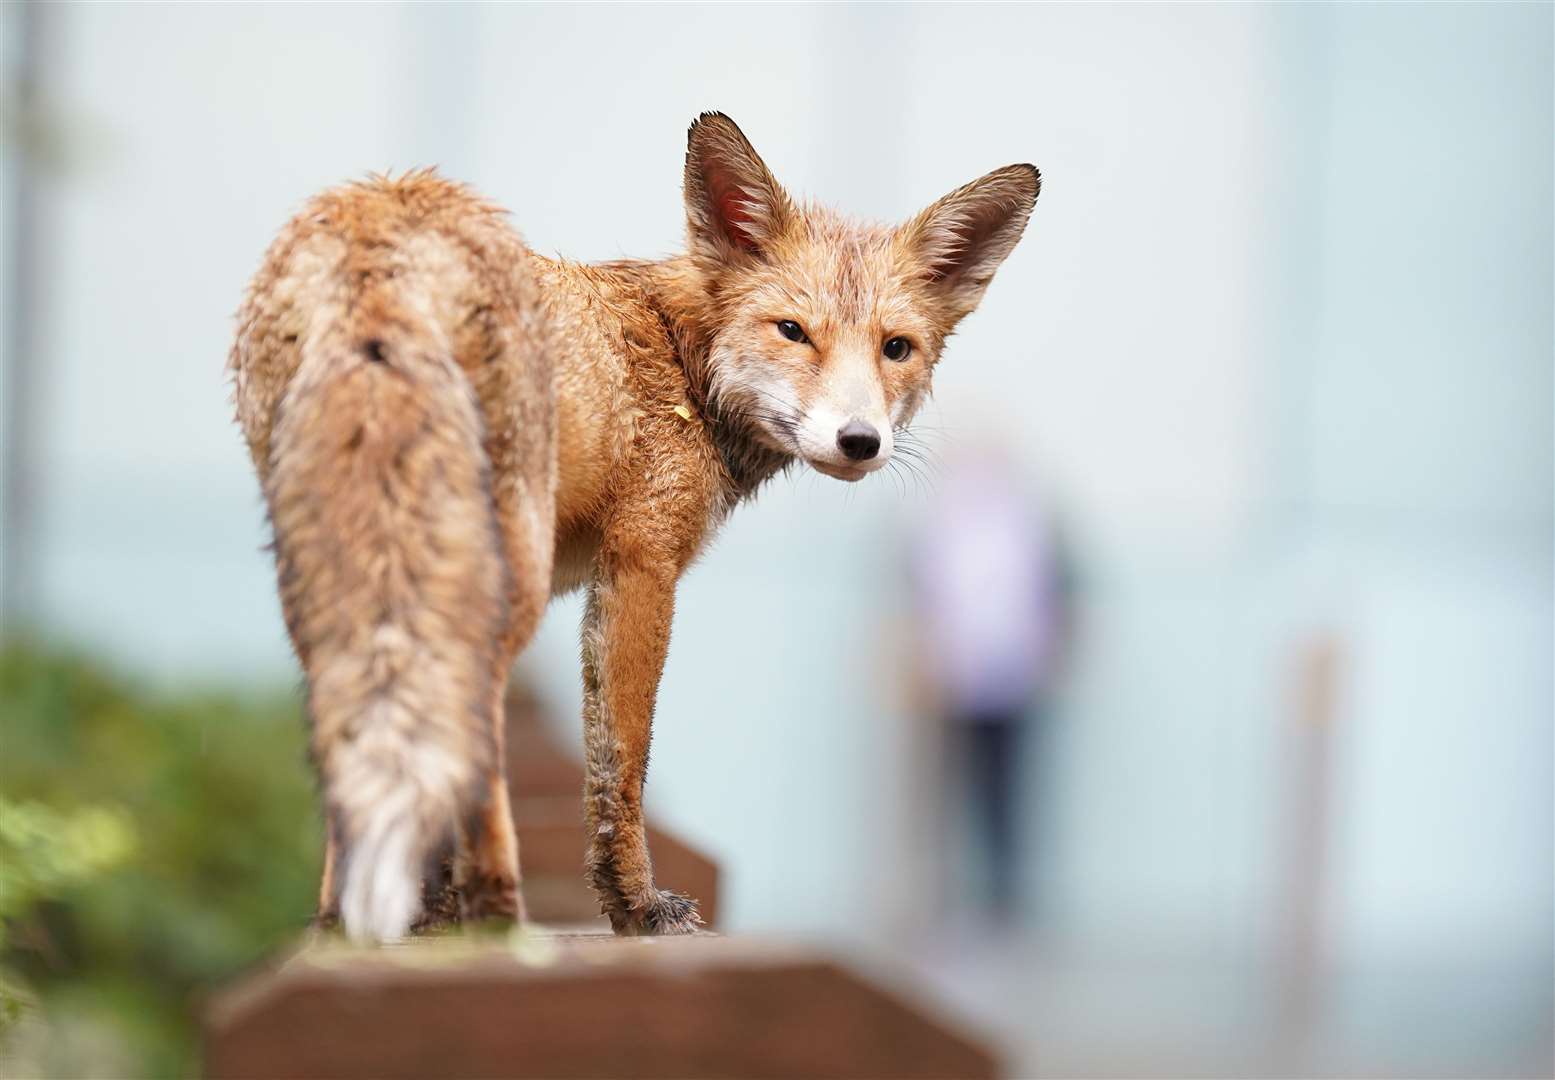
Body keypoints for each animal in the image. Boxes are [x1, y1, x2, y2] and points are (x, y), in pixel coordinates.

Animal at [230, 111, 1038, 938]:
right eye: (792, 331)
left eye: (895, 348)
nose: (859, 441)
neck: (683, 359)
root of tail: (384, 214)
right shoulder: (643, 561)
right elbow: (622, 759)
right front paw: (632, 906)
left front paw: (429, 909)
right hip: (502, 566)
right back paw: (496, 915)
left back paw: (343, 920)